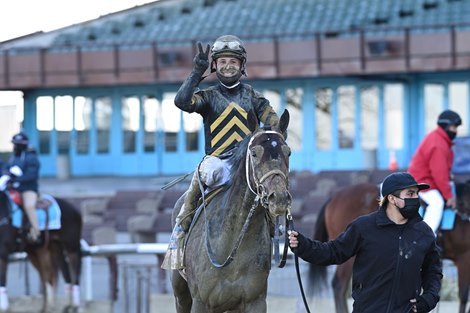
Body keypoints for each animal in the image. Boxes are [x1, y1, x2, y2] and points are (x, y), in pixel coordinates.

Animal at [171, 108, 292, 310]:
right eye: (254, 153)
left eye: (288, 152)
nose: (280, 198)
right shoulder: (200, 301)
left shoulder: (255, 301)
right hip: (180, 292)